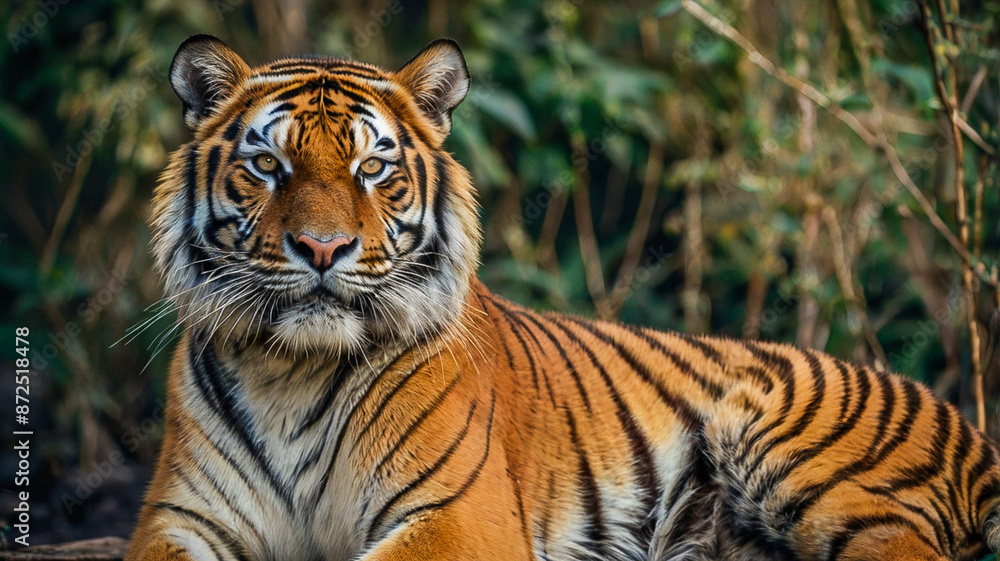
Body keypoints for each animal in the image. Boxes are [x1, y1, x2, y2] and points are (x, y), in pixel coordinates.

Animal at [126, 34, 1000, 561]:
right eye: (267, 165)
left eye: (373, 168)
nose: (321, 248)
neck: (295, 368)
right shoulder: (179, 518)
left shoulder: (457, 515)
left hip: (803, 460)